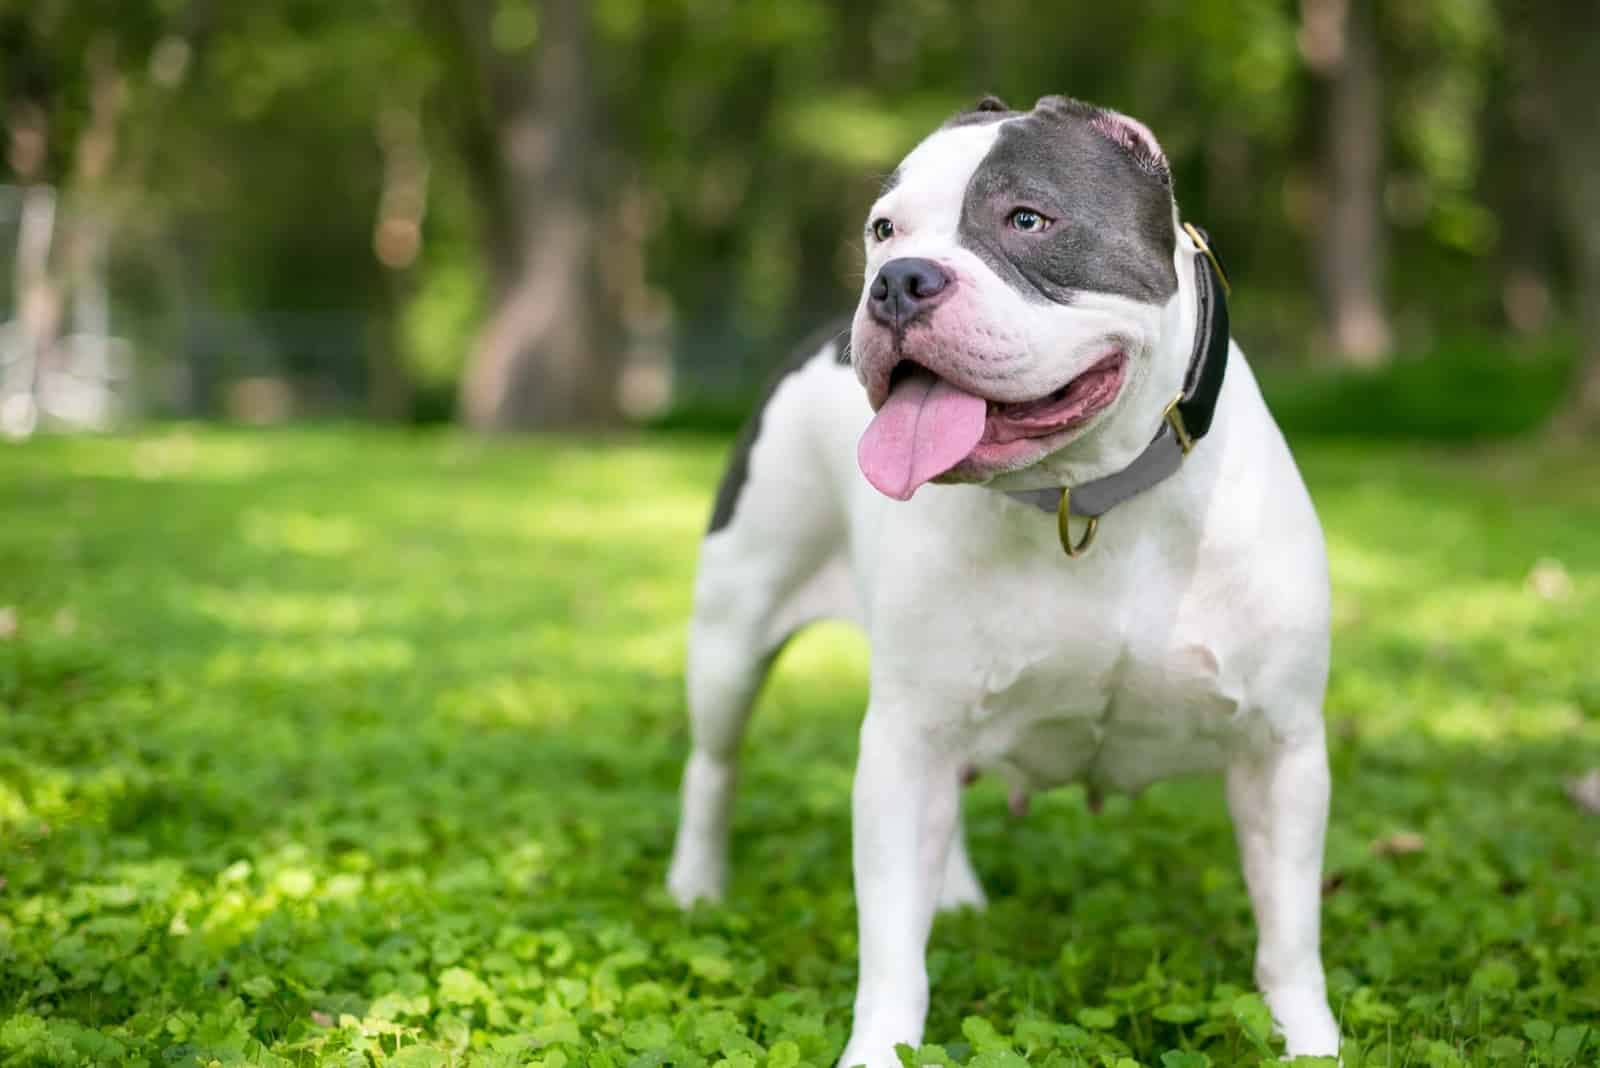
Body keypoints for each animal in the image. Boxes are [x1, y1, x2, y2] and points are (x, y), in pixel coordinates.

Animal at [662, 95, 1337, 1061]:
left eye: (1027, 220)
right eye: (883, 229)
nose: (896, 281)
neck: (1086, 493)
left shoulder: (1280, 749)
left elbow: (1289, 935)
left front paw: (1309, 1038)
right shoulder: (904, 742)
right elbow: (891, 946)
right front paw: (879, 1047)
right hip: (731, 633)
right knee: (713, 763)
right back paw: (696, 886)